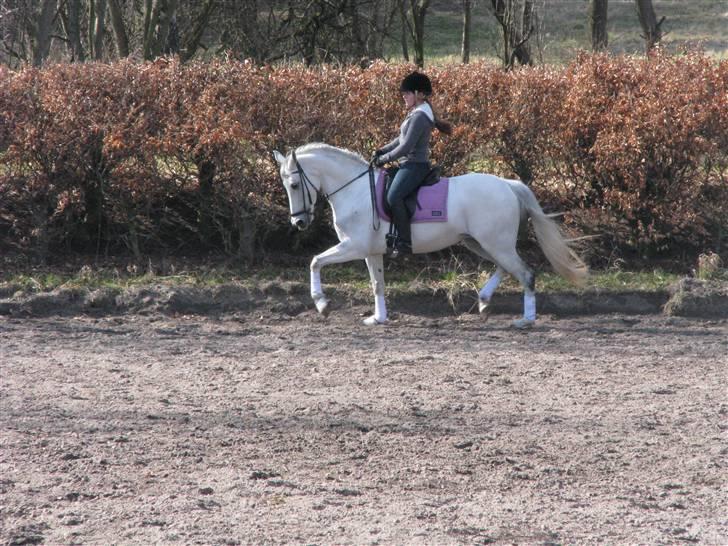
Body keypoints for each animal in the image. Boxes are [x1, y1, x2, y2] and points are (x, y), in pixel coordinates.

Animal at [273, 143, 587, 328]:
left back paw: (526, 319)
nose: (299, 222)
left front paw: (322, 304)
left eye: (294, 184)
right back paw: (485, 301)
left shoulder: (354, 246)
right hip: (479, 242)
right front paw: (378, 318)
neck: (355, 190)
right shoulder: (371, 252)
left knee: (525, 272)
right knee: (507, 268)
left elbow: (315, 261)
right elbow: (377, 285)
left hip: (494, 243)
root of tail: (508, 184)